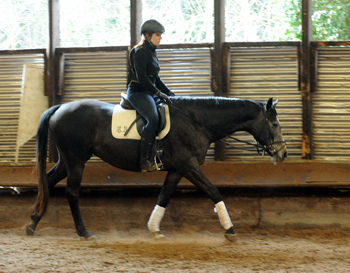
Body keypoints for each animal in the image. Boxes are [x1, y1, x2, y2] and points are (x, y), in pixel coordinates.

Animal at [24, 95, 288, 240]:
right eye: (275, 124)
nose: (283, 154)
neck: (196, 122)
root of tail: (60, 108)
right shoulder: (189, 165)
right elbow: (213, 191)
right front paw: (230, 230)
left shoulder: (178, 169)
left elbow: (164, 196)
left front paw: (154, 230)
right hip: (76, 160)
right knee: (71, 192)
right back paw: (83, 232)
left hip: (68, 161)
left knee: (48, 182)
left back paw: (32, 224)